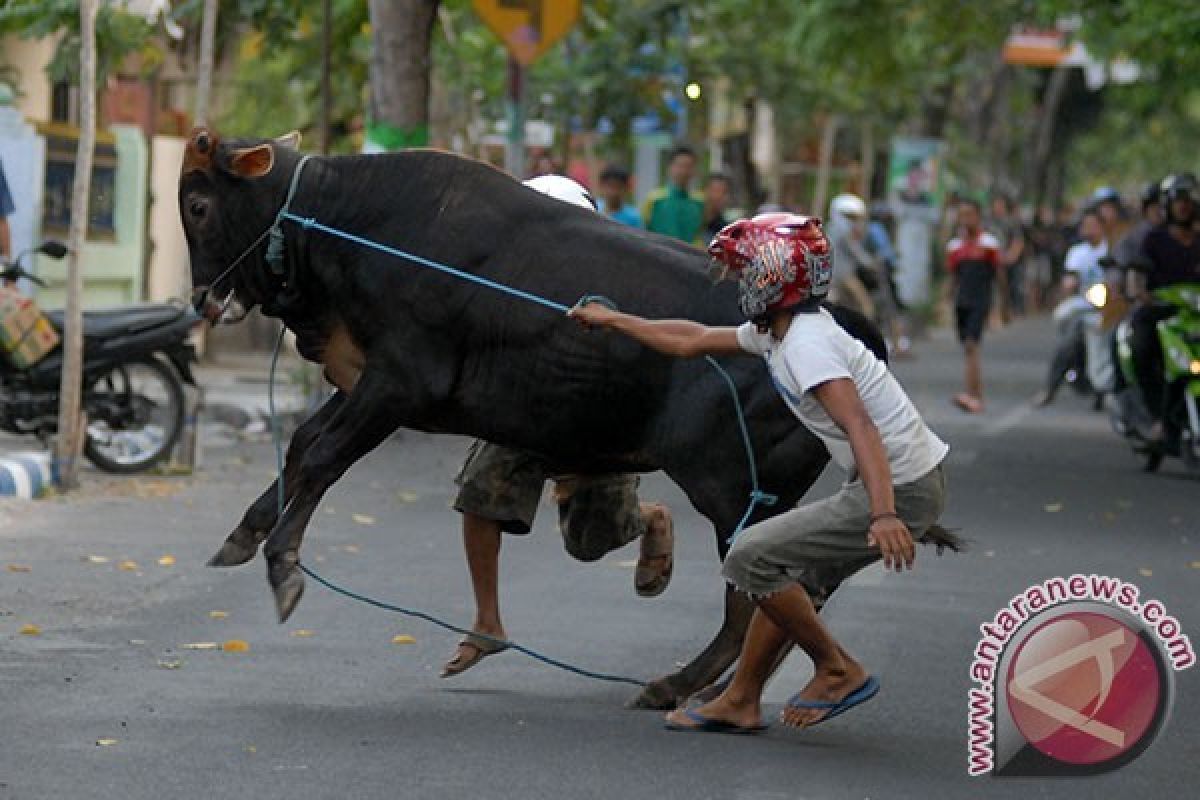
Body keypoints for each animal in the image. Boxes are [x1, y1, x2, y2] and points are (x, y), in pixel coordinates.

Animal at [177, 128, 945, 710]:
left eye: (199, 205)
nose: (201, 302)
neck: (349, 223)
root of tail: (837, 321)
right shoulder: (367, 383)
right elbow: (303, 445)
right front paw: (243, 535)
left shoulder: (397, 384)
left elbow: (320, 457)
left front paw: (284, 567)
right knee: (783, 592)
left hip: (734, 493)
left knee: (760, 597)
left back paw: (688, 688)